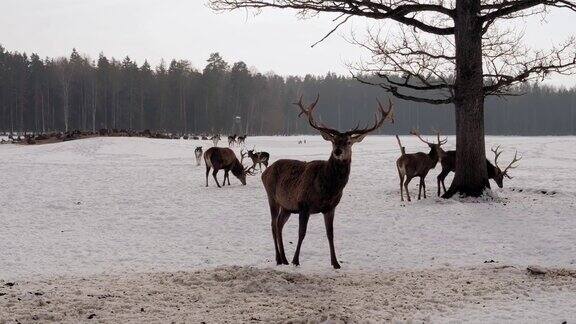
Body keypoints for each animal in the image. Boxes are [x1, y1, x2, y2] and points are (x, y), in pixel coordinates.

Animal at [260, 95, 392, 268]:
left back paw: (284, 259)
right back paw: (278, 259)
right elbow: (301, 233)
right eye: (333, 141)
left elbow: (330, 234)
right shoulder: (303, 204)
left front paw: (335, 263)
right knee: (273, 225)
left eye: (348, 142)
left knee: (280, 225)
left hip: (287, 206)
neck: (327, 189)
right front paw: (296, 260)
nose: (338, 151)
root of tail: (264, 173)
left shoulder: (330, 208)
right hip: (272, 197)